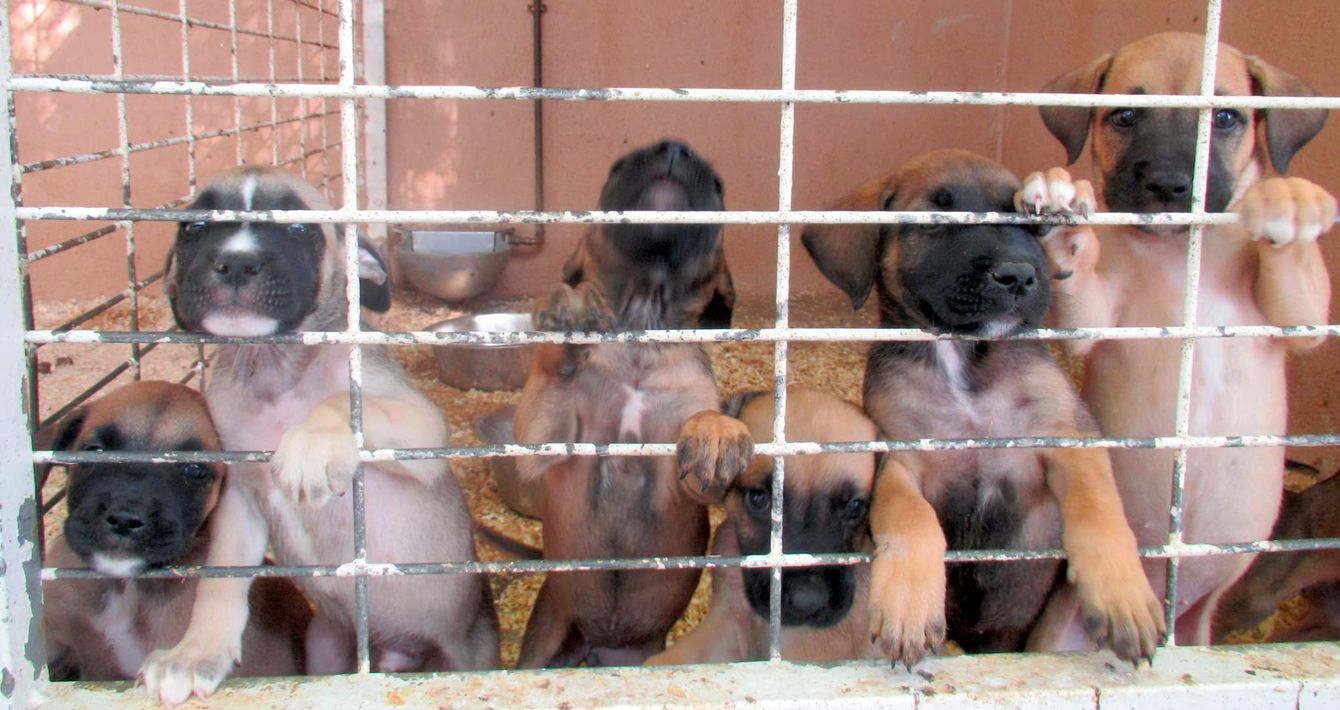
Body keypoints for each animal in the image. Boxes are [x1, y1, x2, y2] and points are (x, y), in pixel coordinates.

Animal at [138, 166, 499, 705]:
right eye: (193, 229)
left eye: (300, 230)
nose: (236, 263)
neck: (273, 372)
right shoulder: (240, 502)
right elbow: (219, 582)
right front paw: (195, 653)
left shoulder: (423, 430)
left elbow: (340, 400)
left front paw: (311, 443)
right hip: (325, 646)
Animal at [513, 140, 750, 668]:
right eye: (619, 165)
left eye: (719, 184)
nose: (675, 148)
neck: (643, 327)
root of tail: (598, 645)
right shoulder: (545, 448)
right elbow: (553, 366)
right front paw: (571, 309)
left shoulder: (685, 485)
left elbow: (704, 418)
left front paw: (717, 430)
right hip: (544, 639)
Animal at [802, 149, 1162, 667]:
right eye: (936, 220)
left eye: (1027, 224)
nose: (1018, 276)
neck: (966, 363)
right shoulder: (899, 456)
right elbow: (912, 517)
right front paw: (909, 605)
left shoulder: (1068, 436)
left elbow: (1098, 507)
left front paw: (1121, 593)